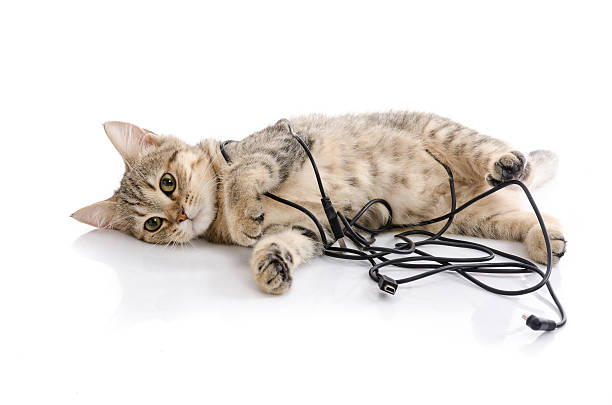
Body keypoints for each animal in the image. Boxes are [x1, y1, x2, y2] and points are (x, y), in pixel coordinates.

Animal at [71, 113, 564, 294]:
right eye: (152, 225)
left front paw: (240, 208)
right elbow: (285, 242)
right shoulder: (317, 228)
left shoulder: (281, 143)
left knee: (505, 160)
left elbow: (244, 172)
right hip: (473, 217)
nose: (179, 216)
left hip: (449, 138)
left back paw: (508, 163)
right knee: (530, 215)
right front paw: (270, 265)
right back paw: (548, 240)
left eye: (168, 182)